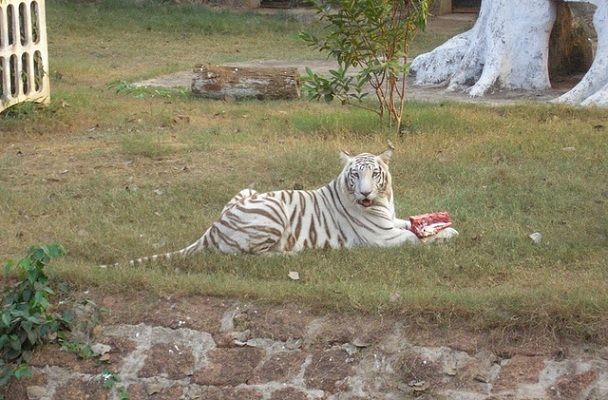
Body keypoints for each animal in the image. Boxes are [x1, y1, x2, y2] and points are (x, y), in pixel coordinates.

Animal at [100, 142, 458, 268]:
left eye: (374, 174)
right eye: (355, 175)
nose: (365, 194)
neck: (382, 202)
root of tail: (211, 229)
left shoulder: (390, 221)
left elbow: (411, 222)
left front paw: (442, 225)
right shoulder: (383, 238)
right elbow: (415, 239)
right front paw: (445, 236)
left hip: (247, 190)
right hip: (271, 213)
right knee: (249, 257)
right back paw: (293, 254)